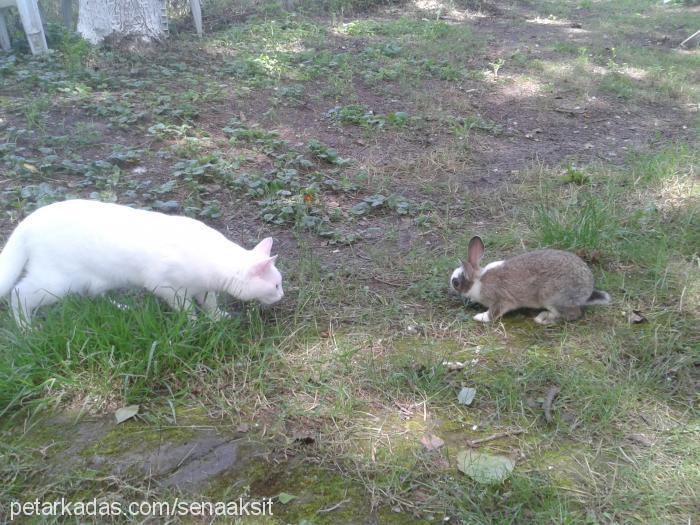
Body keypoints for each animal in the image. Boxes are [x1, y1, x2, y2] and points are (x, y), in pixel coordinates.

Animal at [0, 200, 284, 326]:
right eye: (276, 286)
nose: (282, 296)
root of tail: (29, 220)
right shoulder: (168, 287)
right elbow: (186, 309)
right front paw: (193, 324)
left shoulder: (203, 288)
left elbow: (210, 303)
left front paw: (217, 318)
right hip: (56, 282)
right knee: (18, 293)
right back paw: (26, 328)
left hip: (97, 278)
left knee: (92, 294)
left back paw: (121, 308)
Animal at [452, 236, 608, 324]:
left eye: (456, 282)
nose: (451, 288)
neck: (478, 280)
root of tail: (587, 290)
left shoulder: (500, 299)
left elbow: (494, 312)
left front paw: (480, 317)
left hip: (552, 296)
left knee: (573, 314)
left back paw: (544, 319)